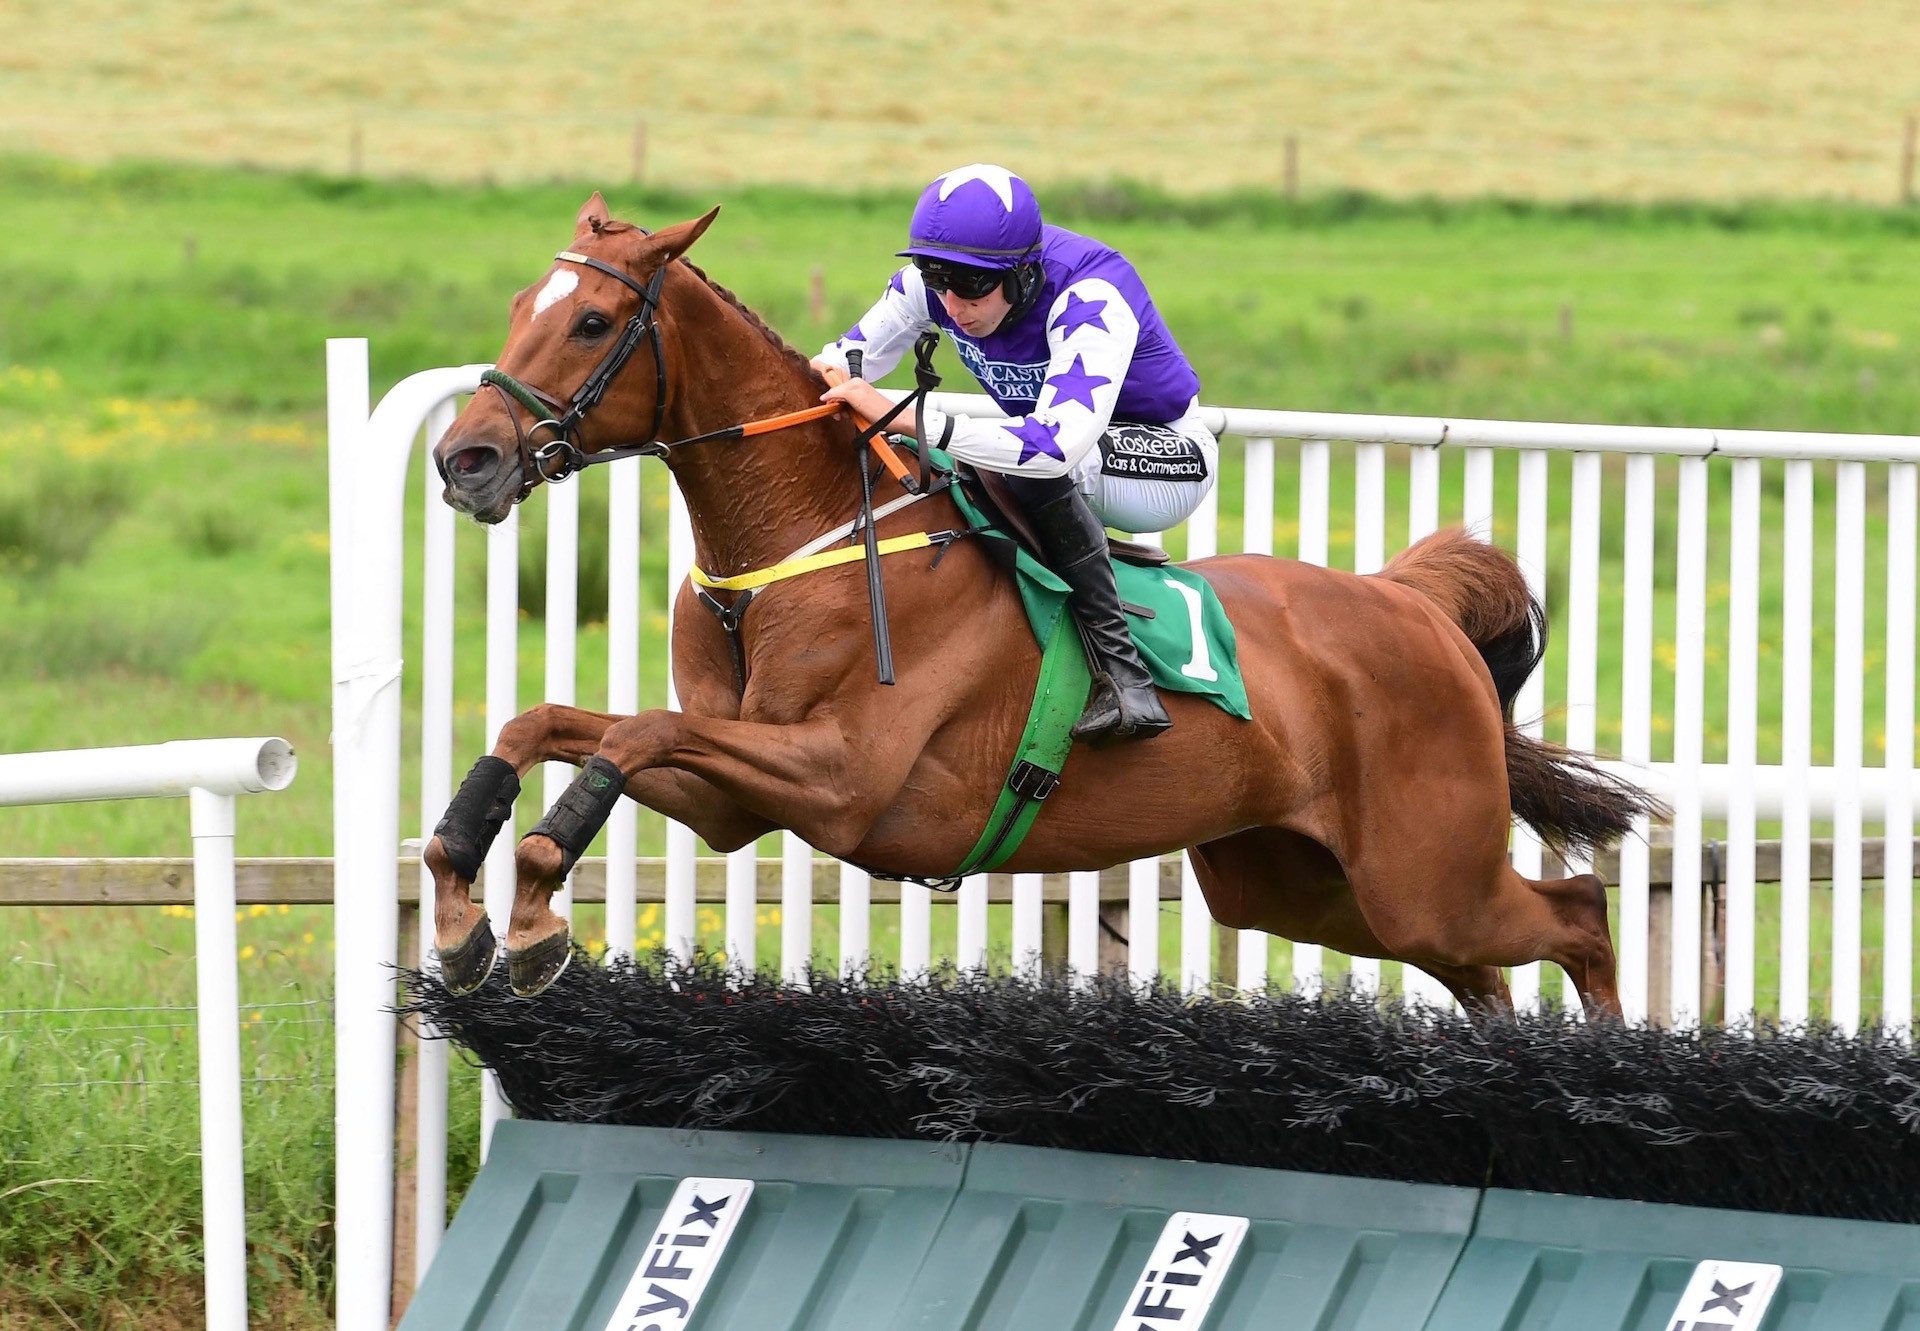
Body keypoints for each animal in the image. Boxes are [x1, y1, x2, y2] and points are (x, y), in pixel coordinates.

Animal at [428, 194, 1658, 1006]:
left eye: (592, 322)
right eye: (519, 303)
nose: (464, 459)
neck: (796, 549)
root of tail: (1412, 608)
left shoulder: (838, 775)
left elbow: (628, 734)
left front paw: (528, 912)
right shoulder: (736, 789)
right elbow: (547, 725)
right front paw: (459, 902)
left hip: (1422, 872)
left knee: (1580, 923)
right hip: (1307, 885)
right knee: (1489, 975)